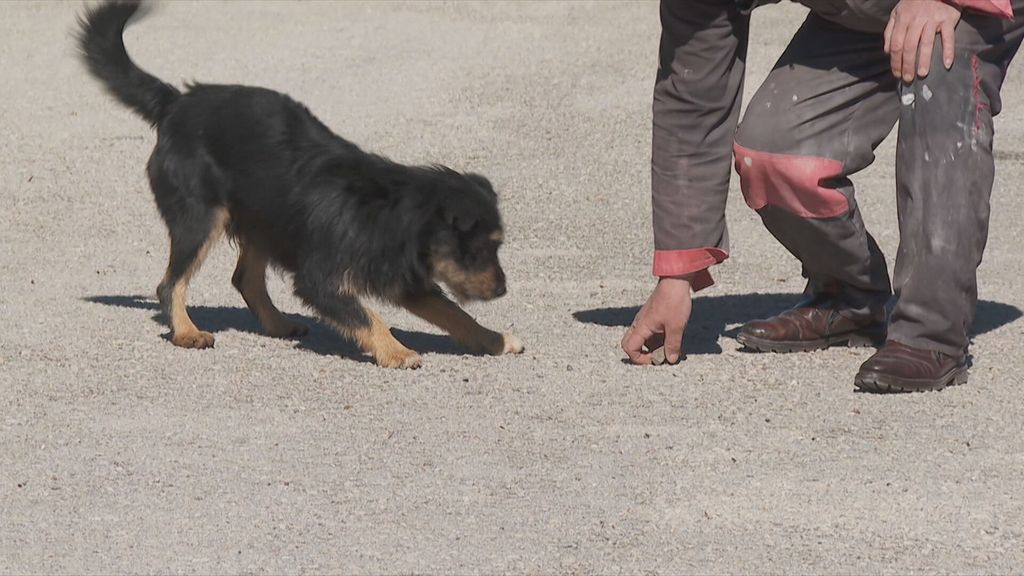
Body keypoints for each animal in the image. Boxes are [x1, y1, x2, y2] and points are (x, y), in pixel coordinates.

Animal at [79, 0, 524, 366]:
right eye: (481, 248)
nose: (503, 290)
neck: (393, 214)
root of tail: (175, 103)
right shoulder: (321, 280)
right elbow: (371, 316)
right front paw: (397, 351)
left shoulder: (405, 278)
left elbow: (454, 312)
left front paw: (495, 340)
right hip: (201, 219)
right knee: (171, 283)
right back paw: (187, 332)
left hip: (265, 217)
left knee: (245, 279)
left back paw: (277, 324)